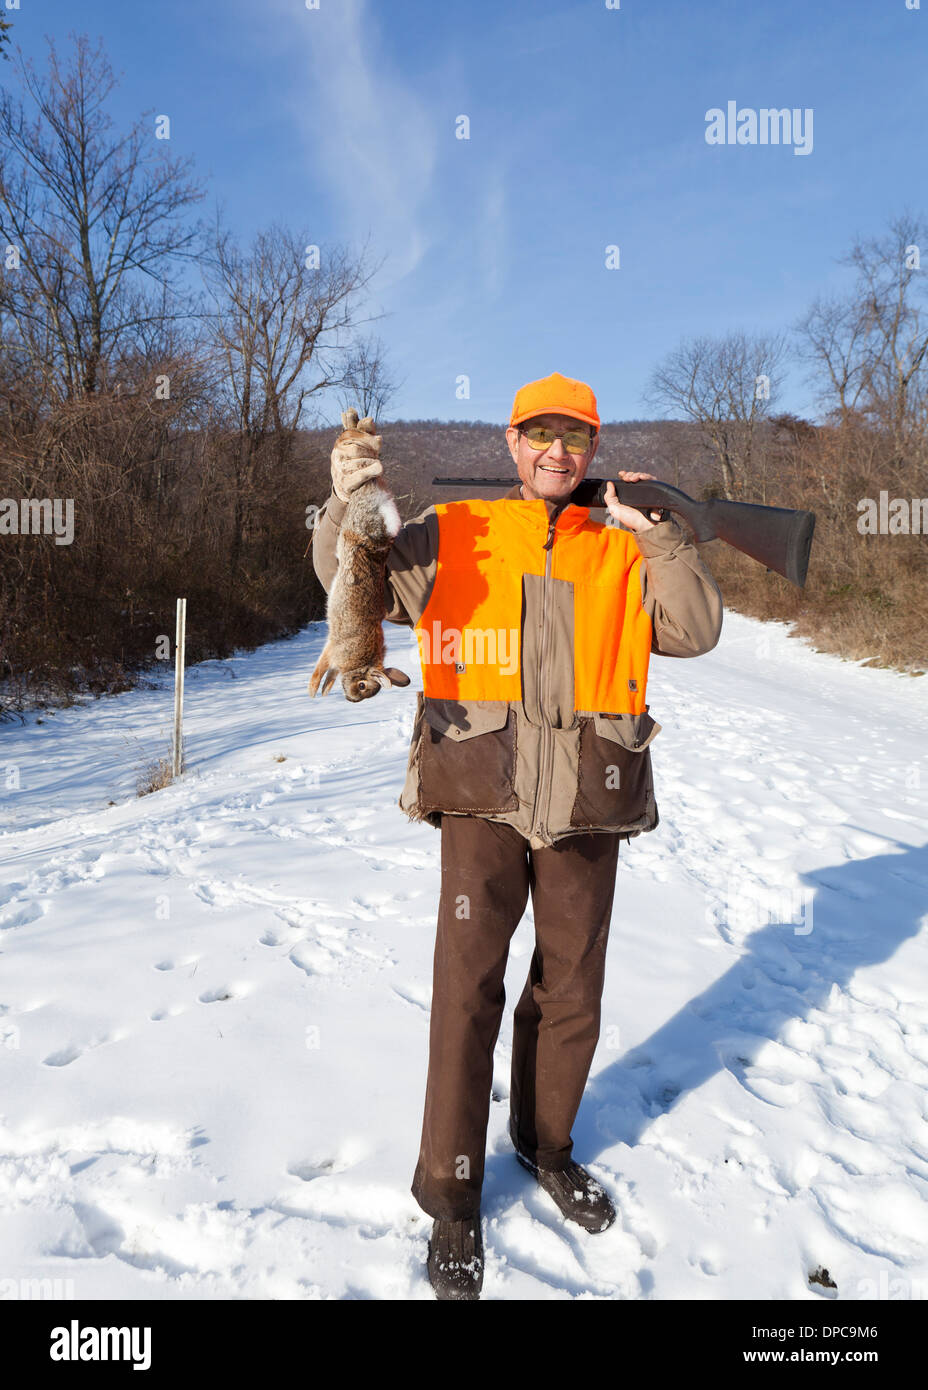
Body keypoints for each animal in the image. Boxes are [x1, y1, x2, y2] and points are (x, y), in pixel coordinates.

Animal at [308, 408, 411, 702]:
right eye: (364, 686)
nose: (350, 699)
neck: (362, 662)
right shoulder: (335, 648)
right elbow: (323, 668)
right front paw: (312, 690)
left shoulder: (334, 652)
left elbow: (328, 672)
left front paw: (320, 691)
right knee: (366, 449)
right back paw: (357, 425)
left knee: (365, 441)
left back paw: (356, 420)